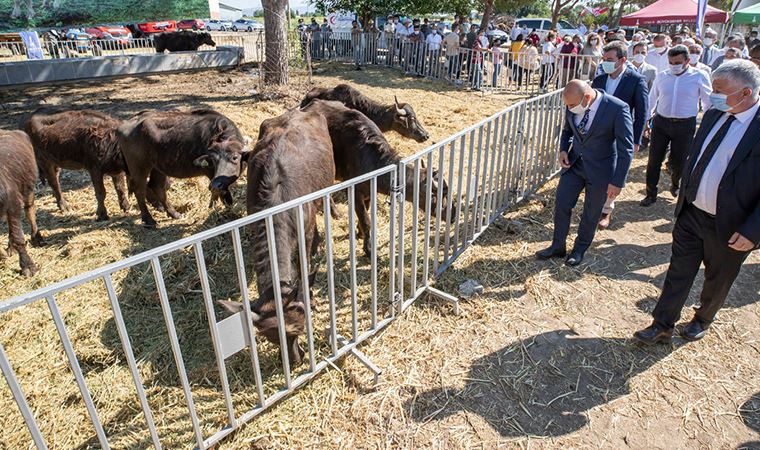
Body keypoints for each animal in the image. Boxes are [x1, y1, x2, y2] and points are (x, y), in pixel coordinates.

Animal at [0, 131, 44, 278]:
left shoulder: (13, 206)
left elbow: (18, 237)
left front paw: (28, 266)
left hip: (28, 190)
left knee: (30, 212)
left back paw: (36, 238)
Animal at [117, 109, 249, 229]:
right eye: (213, 160)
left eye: (234, 157)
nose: (215, 184)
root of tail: (127, 123)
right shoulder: (213, 175)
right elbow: (225, 196)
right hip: (139, 167)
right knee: (139, 190)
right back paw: (149, 220)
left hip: (158, 168)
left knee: (157, 186)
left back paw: (174, 214)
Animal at [298, 100, 452, 258]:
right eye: (440, 194)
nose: (452, 215)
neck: (370, 159)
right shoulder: (354, 193)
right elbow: (366, 220)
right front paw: (369, 248)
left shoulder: (370, 192)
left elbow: (366, 214)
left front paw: (360, 233)